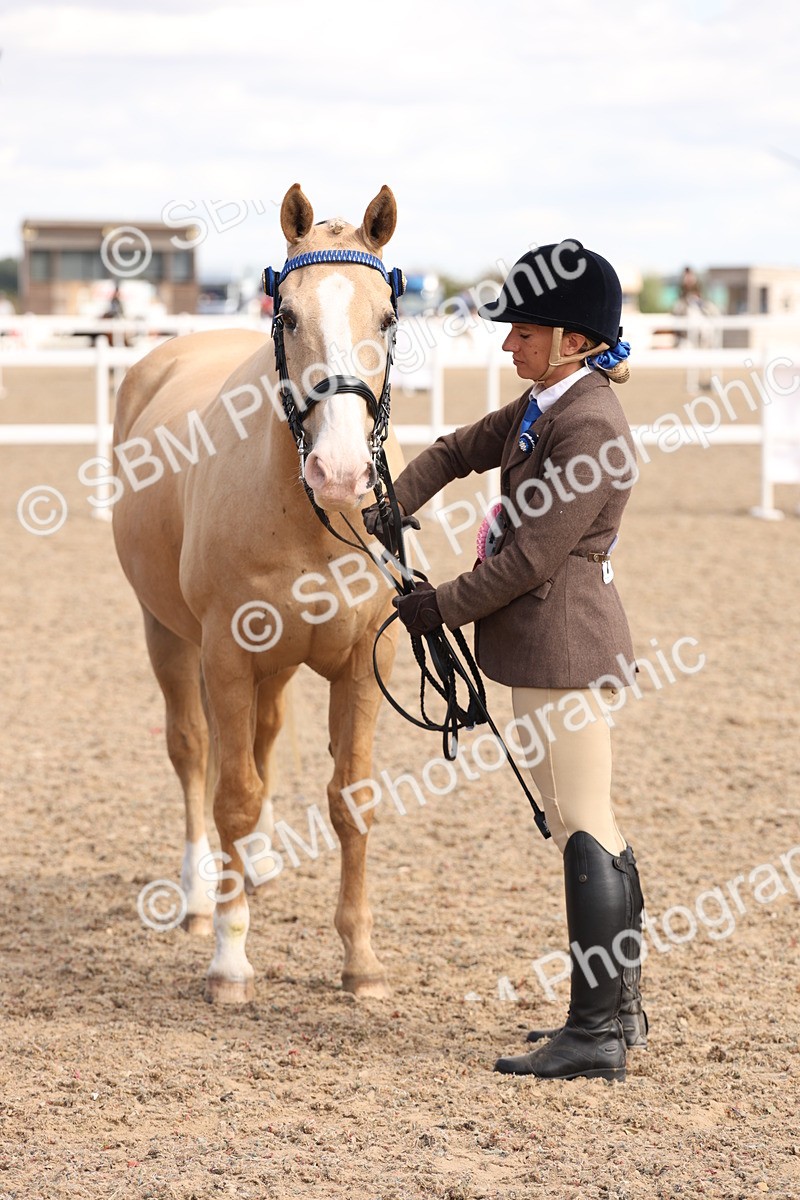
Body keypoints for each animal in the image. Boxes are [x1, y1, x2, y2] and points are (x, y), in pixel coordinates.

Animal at [112, 184, 404, 1003]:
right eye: (289, 315)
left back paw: (260, 867)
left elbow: (351, 799)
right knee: (194, 753)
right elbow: (232, 794)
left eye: (387, 317)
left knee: (262, 740)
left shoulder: (362, 663)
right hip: (168, 637)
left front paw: (360, 960)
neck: (314, 520)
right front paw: (230, 960)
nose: (342, 470)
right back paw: (198, 895)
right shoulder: (226, 656)